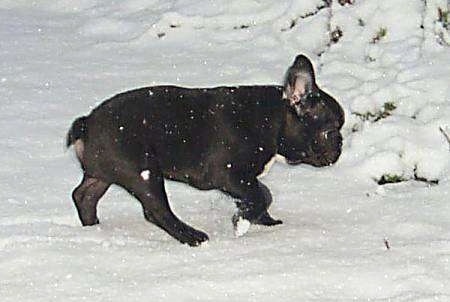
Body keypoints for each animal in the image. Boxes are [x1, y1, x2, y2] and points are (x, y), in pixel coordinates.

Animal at [67, 55, 344, 247]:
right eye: (330, 131)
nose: (340, 145)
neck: (272, 119)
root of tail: (87, 123)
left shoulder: (240, 181)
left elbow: (258, 194)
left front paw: (263, 220)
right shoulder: (228, 174)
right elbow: (262, 194)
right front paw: (242, 223)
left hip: (104, 172)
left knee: (84, 195)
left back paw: (93, 228)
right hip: (143, 172)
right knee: (156, 211)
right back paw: (192, 237)